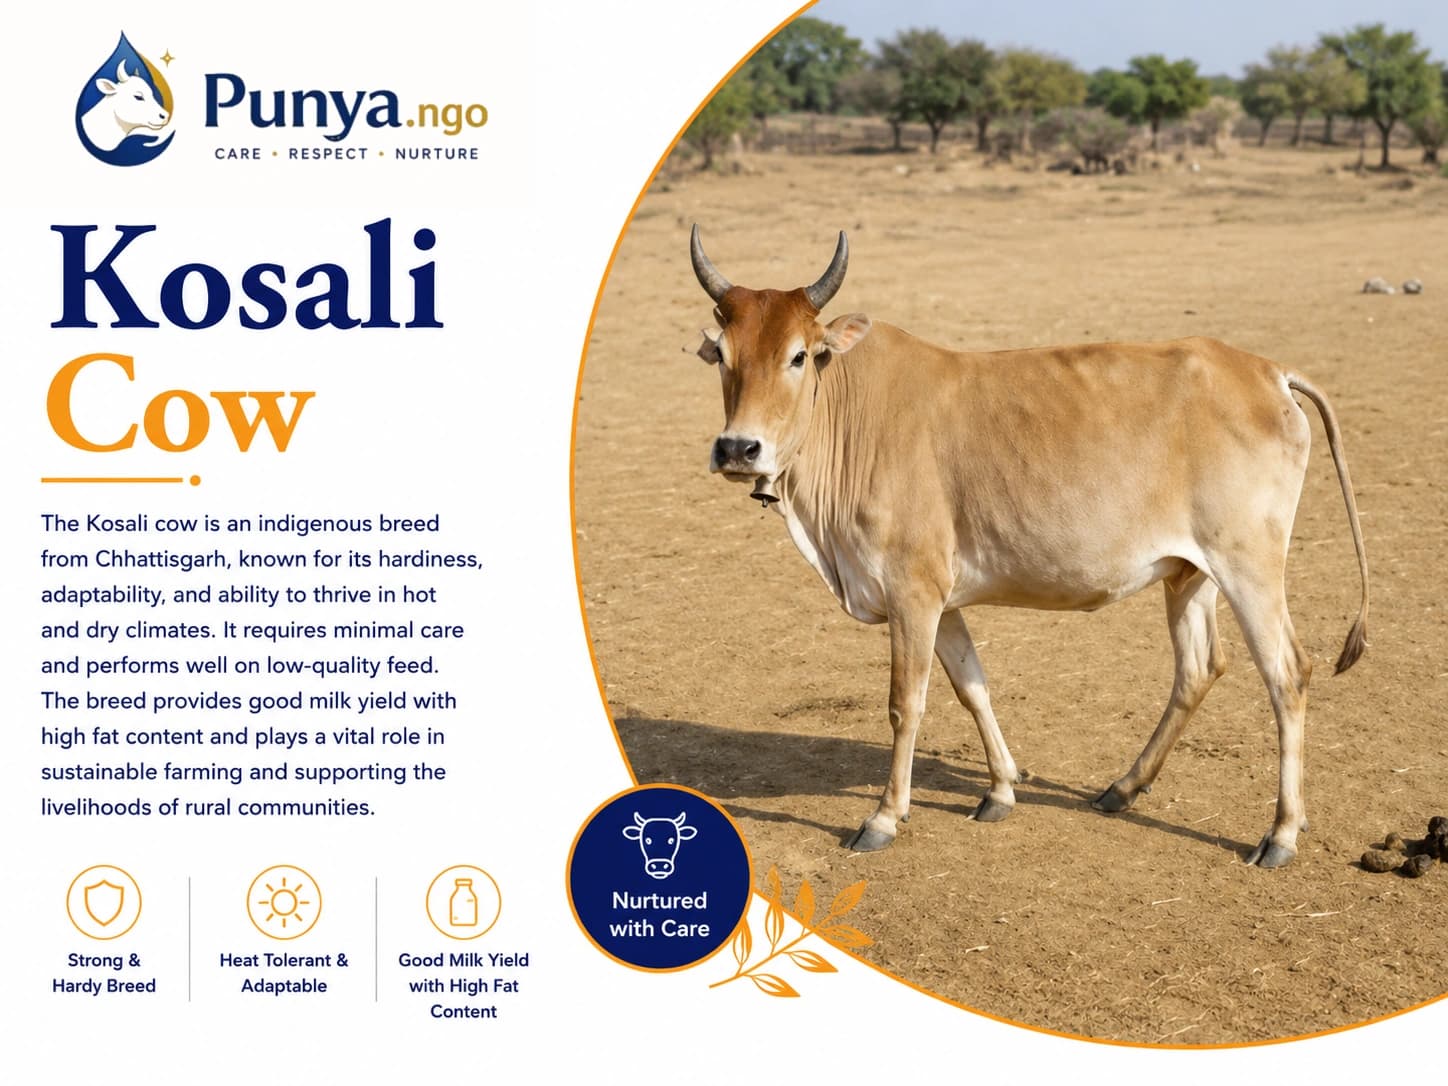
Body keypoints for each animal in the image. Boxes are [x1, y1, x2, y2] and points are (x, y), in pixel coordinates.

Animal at [687, 225, 1369, 869]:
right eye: (722, 354)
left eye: (800, 356)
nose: (739, 449)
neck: (850, 412)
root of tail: (1268, 371)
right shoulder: (942, 600)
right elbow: (972, 687)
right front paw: (999, 791)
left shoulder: (912, 592)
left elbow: (906, 703)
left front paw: (883, 817)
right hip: (1189, 573)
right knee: (1199, 668)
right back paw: (1125, 788)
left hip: (1249, 566)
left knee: (1288, 674)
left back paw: (1281, 832)